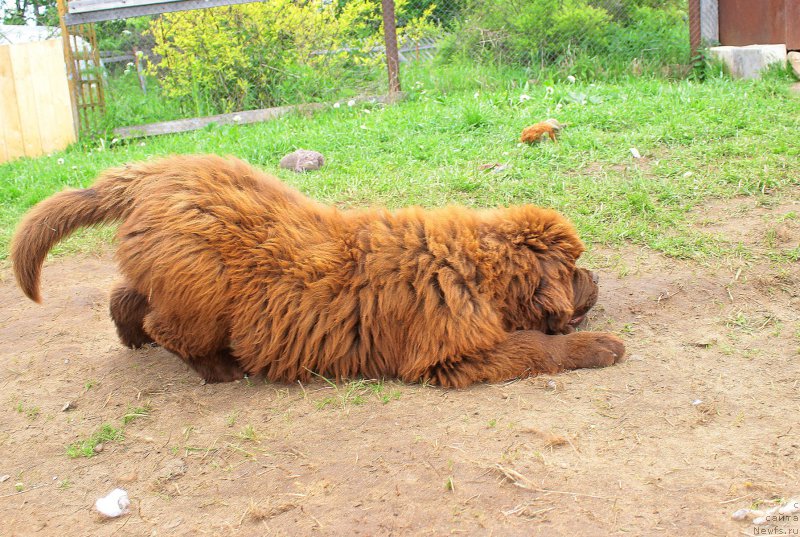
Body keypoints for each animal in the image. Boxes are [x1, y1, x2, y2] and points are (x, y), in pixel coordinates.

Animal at [10, 155, 624, 386]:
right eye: (574, 267)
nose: (596, 279)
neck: (473, 269)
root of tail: (152, 172)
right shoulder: (450, 355)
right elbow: (535, 347)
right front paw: (601, 347)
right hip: (203, 286)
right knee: (168, 325)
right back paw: (219, 369)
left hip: (172, 270)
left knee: (128, 297)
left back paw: (131, 338)